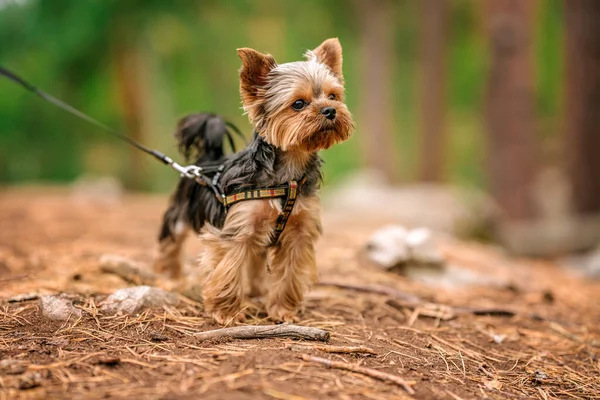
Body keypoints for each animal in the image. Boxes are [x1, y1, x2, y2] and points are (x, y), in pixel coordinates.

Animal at [152, 38, 354, 324]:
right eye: (298, 104)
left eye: (333, 96)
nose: (330, 110)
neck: (288, 173)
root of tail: (208, 157)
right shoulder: (237, 231)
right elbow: (229, 270)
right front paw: (227, 312)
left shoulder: (299, 233)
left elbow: (289, 274)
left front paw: (283, 310)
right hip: (180, 214)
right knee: (170, 244)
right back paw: (170, 280)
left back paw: (256, 292)